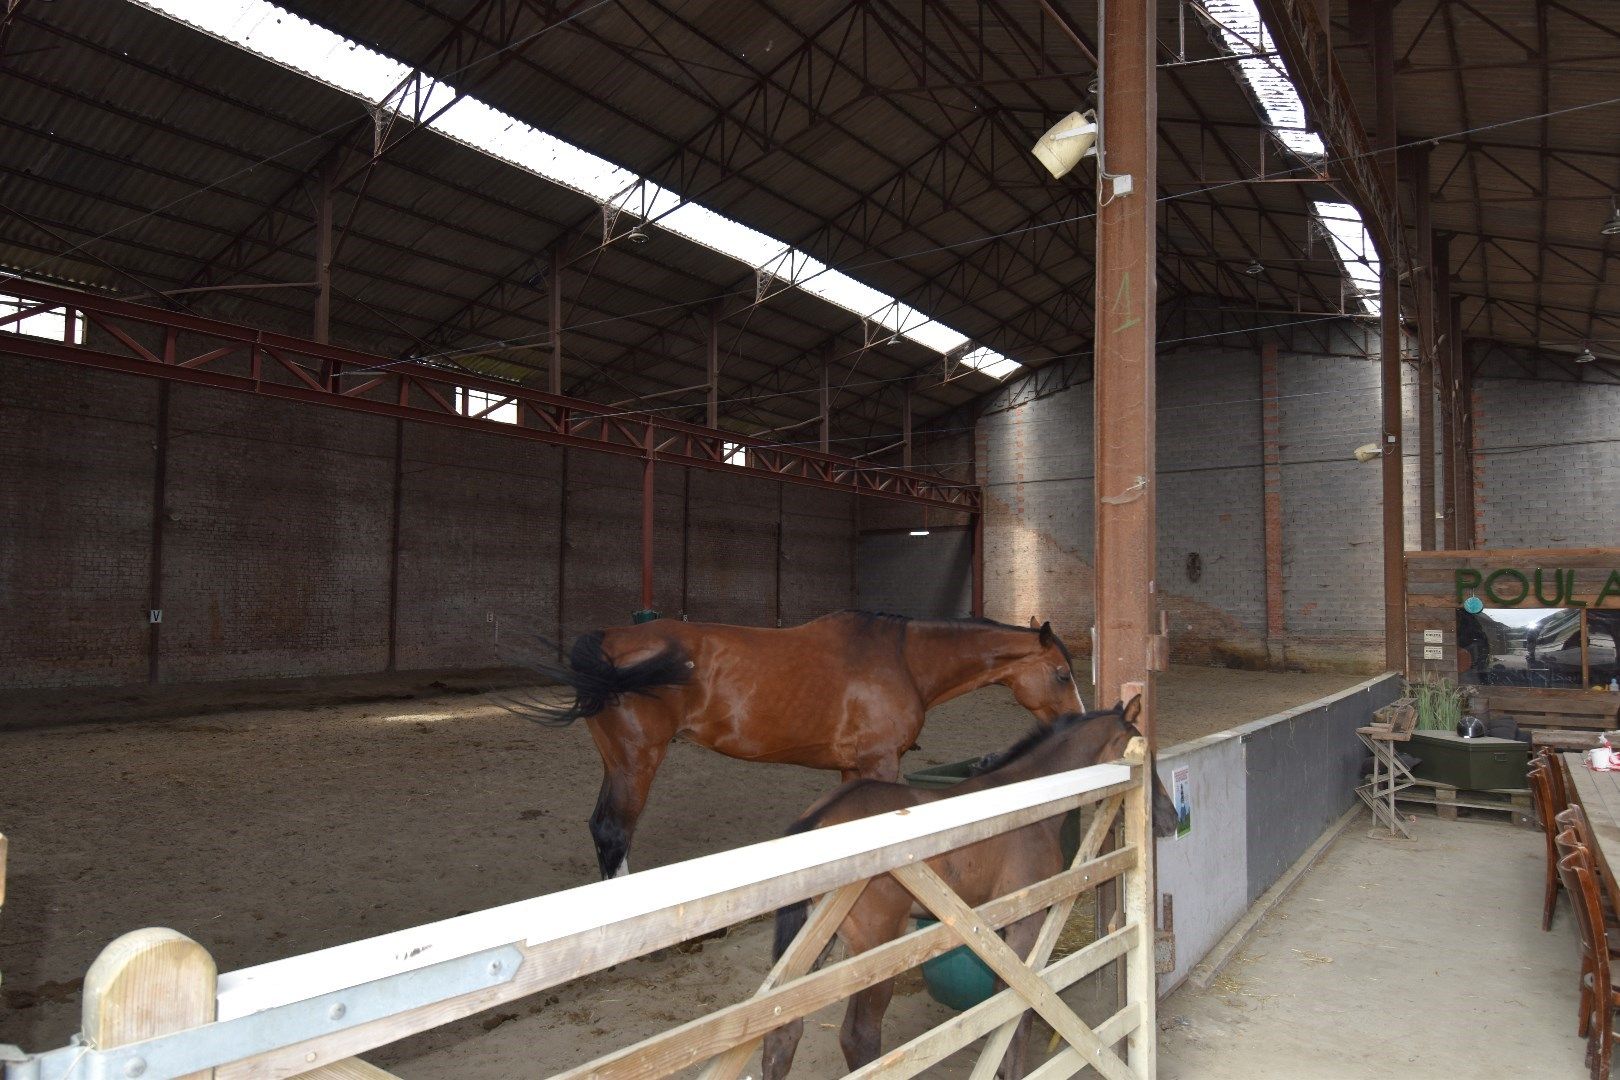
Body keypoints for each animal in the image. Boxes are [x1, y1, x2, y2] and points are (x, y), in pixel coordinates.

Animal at [505, 612, 1088, 880]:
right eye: (1062, 674)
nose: (1079, 720)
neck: (903, 660)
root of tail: (610, 641)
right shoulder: (882, 764)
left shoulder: (855, 769)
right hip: (637, 762)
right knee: (613, 832)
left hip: (618, 761)